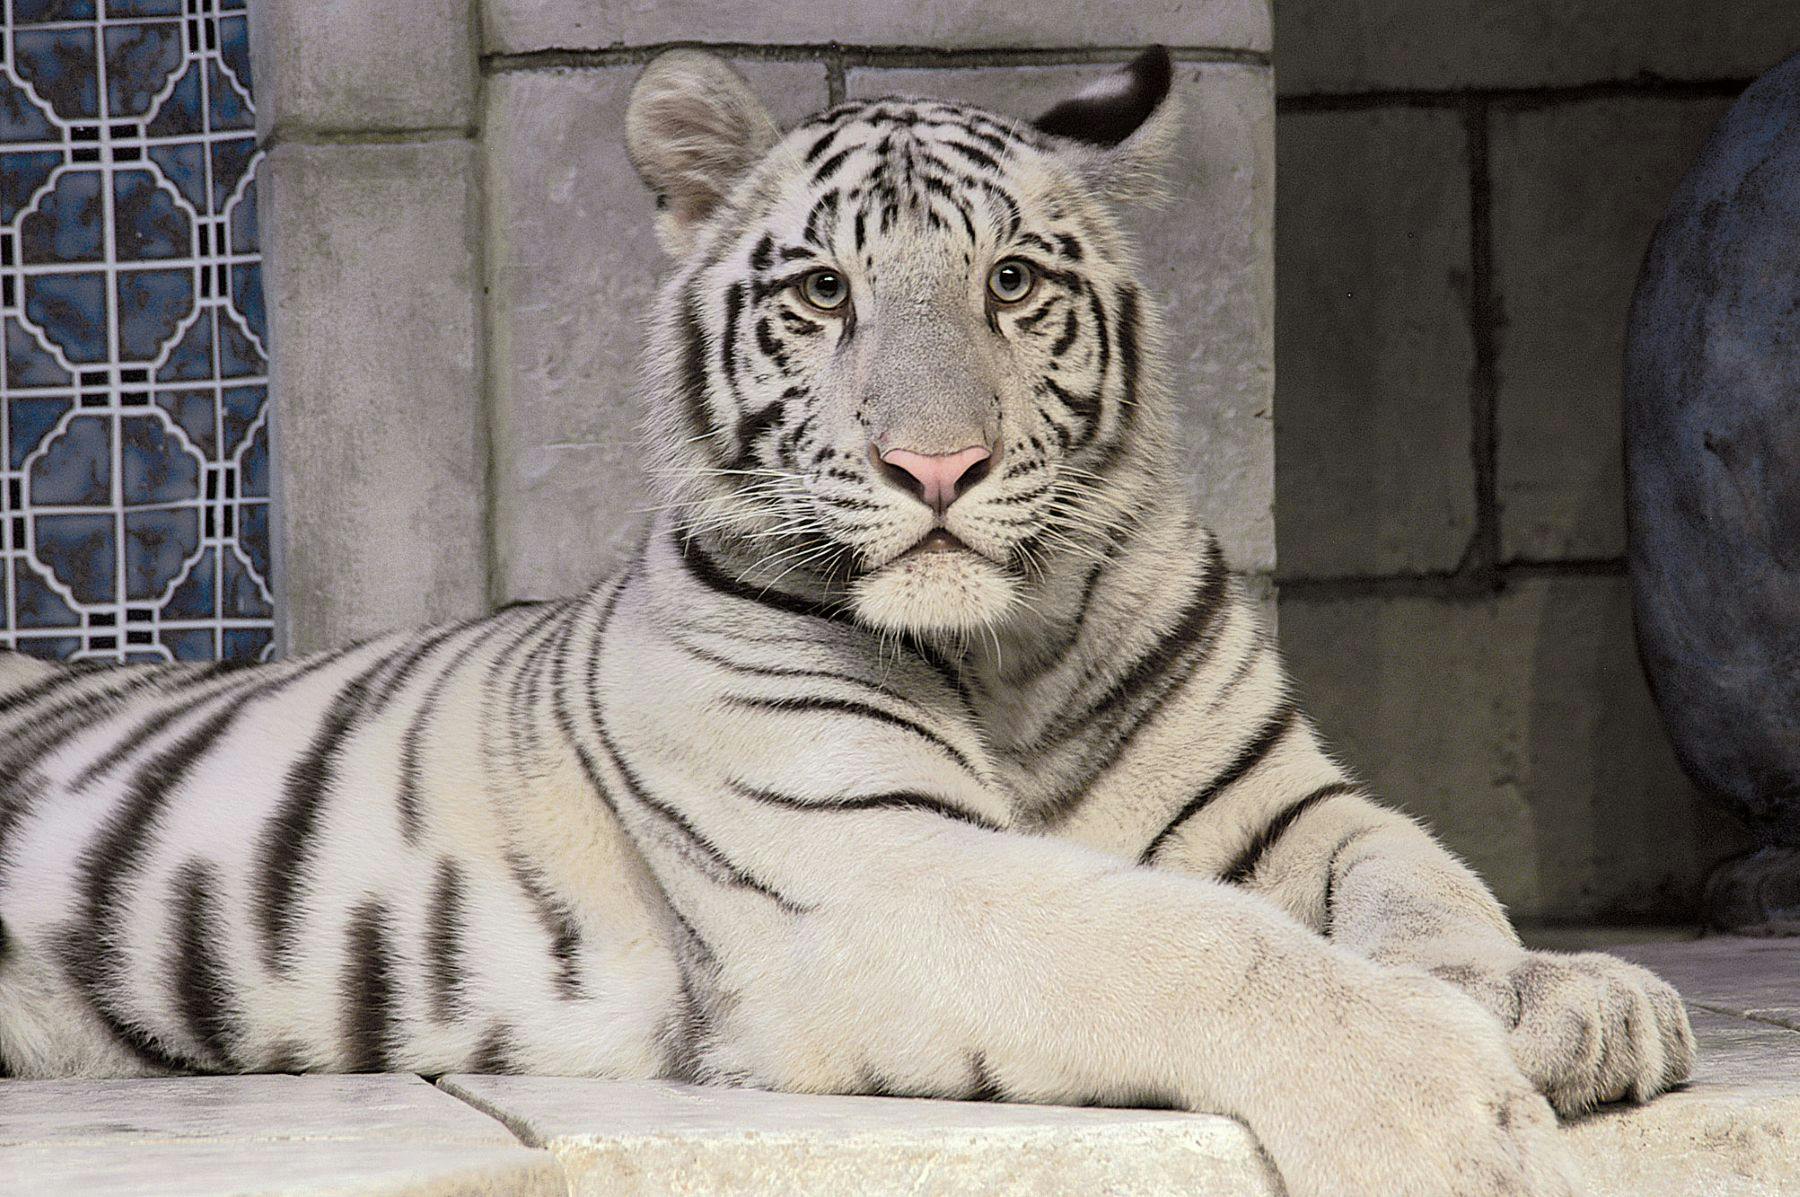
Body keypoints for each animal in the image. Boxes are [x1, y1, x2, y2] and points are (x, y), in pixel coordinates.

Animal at [0, 47, 1691, 1196]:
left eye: (1013, 282)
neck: (1010, 658)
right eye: (820, 292)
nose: (935, 466)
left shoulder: (1280, 800)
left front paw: (1557, 998)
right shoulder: (870, 864)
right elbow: (1201, 943)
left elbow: (1417, 873)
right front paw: (1456, 1116)